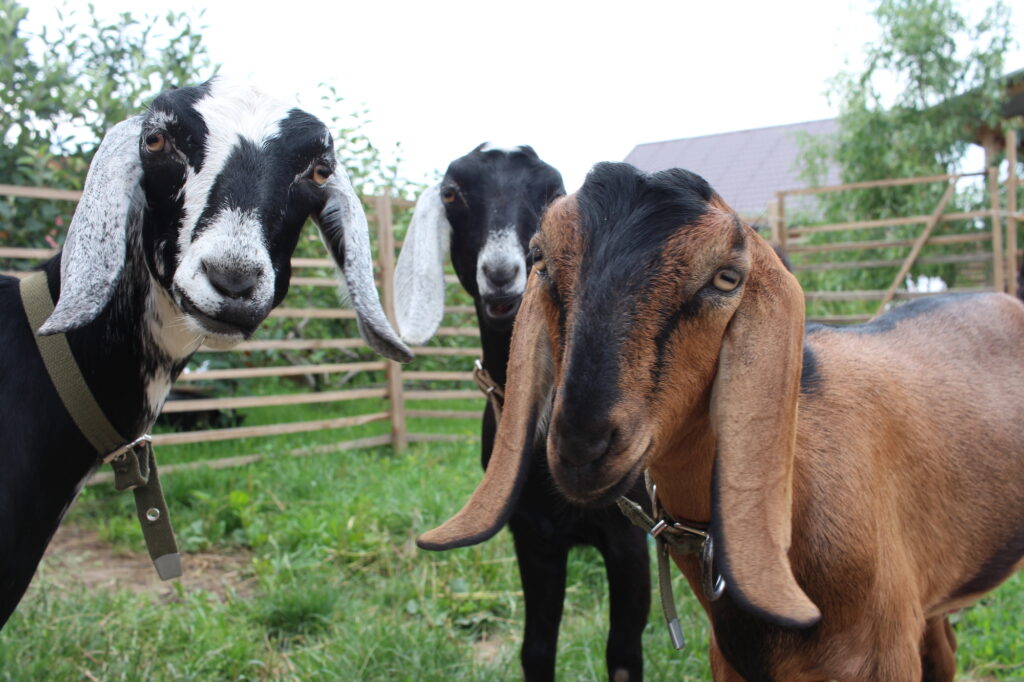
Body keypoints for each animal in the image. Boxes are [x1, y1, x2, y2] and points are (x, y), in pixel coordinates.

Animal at [395, 145, 651, 682]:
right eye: (452, 193)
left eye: (553, 192)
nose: (501, 273)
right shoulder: (532, 533)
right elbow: (535, 649)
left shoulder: (629, 536)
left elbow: (623, 654)